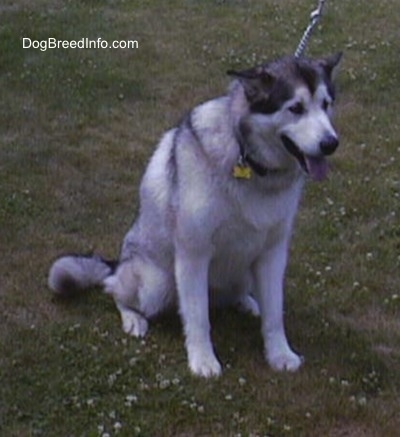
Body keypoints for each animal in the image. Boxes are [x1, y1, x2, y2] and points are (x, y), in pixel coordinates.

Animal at [49, 52, 344, 376]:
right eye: (296, 108)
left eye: (326, 104)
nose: (331, 143)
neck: (251, 166)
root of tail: (120, 262)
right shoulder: (193, 254)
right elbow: (199, 317)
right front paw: (203, 360)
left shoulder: (272, 253)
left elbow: (275, 314)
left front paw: (280, 354)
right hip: (157, 284)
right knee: (113, 289)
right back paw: (133, 317)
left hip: (241, 271)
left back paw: (247, 302)